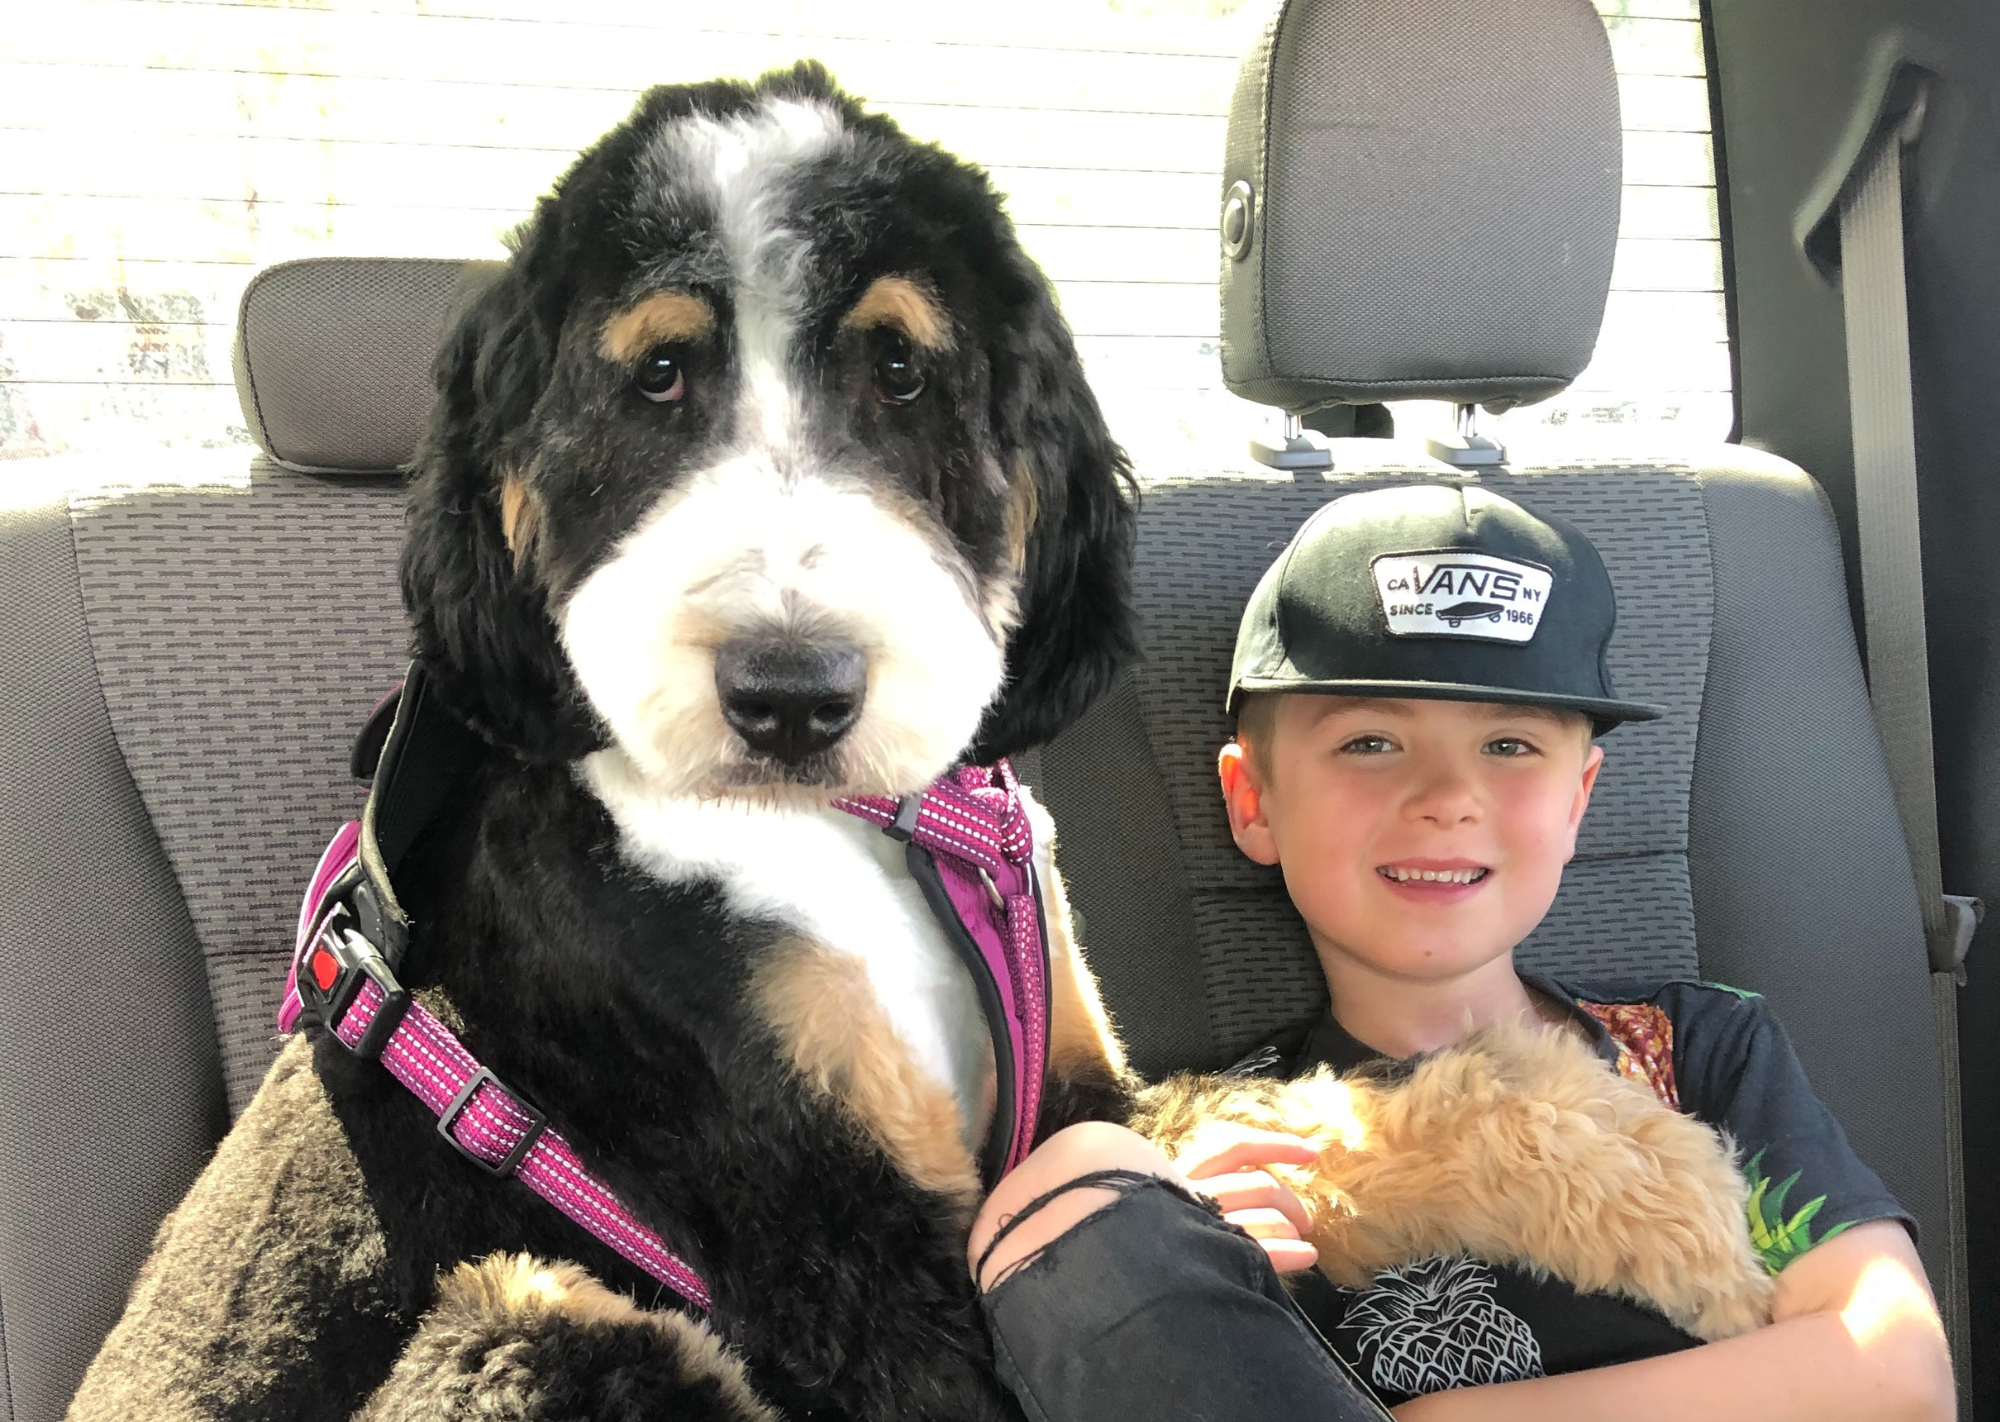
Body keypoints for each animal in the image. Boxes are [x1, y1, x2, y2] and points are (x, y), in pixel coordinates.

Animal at [70, 64, 1144, 1422]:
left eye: (900, 367)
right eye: (659, 372)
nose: (790, 694)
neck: (851, 834)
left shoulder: (1071, 1099)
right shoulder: (832, 1239)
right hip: (535, 1313)